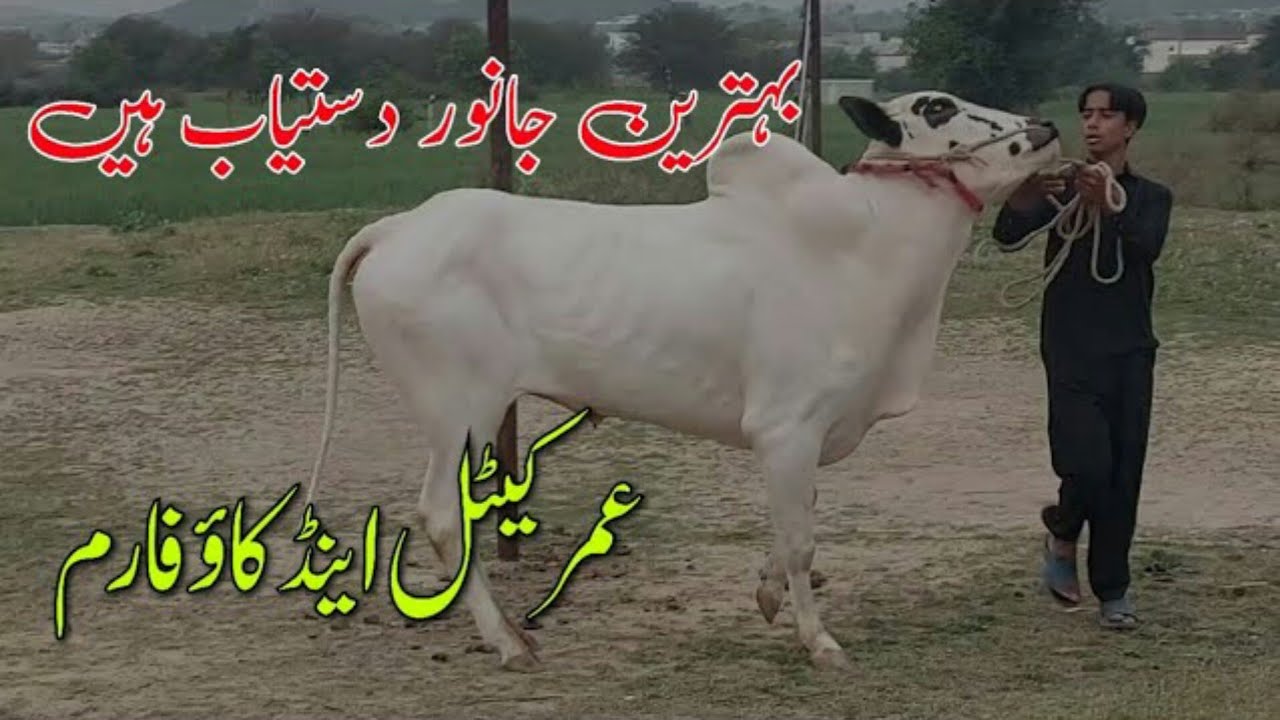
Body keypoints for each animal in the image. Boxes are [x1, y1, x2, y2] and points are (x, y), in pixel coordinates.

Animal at [304, 90, 1062, 672]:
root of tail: (400, 227)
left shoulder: (806, 439)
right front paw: (818, 641)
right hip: (463, 411)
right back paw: (509, 642)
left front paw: (768, 594)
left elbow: (795, 526)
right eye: (939, 107)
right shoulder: (786, 426)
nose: (1045, 127)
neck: (867, 244)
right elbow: (801, 541)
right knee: (442, 515)